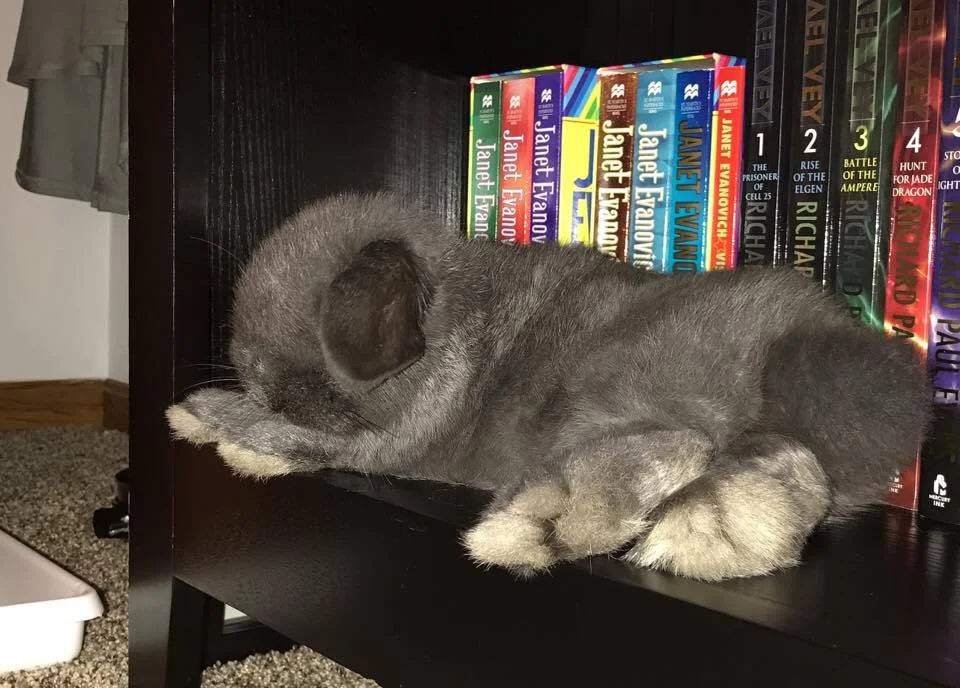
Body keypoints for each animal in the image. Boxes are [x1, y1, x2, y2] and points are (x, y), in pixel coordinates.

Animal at [166, 191, 932, 582]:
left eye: (299, 358)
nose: (259, 380)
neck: (452, 320)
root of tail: (804, 337)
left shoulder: (382, 441)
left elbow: (285, 433)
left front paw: (203, 418)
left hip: (607, 382)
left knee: (677, 443)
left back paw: (542, 521)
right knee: (780, 471)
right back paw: (716, 532)